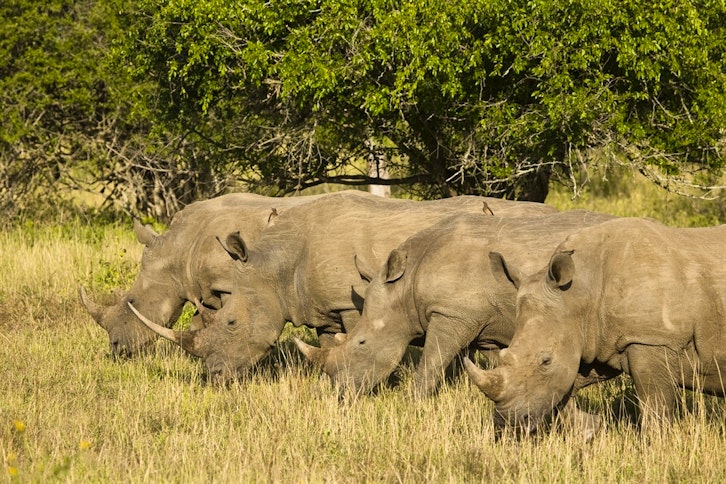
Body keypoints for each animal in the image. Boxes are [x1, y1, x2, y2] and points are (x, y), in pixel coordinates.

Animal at [79, 191, 332, 357]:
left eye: (131, 301)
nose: (115, 348)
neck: (178, 251)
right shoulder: (207, 290)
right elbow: (199, 326)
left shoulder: (228, 284)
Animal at [130, 191, 557, 382]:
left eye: (231, 323)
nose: (214, 377)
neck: (276, 264)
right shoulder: (323, 308)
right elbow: (328, 345)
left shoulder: (351, 303)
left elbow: (357, 339)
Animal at [295, 210, 614, 399]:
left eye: (361, 343)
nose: (339, 392)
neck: (405, 287)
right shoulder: (489, 324)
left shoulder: (452, 314)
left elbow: (432, 360)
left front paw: (413, 402)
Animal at [464, 217, 726, 432]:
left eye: (546, 361)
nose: (506, 422)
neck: (581, 291)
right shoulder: (596, 339)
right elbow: (564, 392)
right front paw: (591, 428)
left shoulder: (652, 340)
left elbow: (655, 405)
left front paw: (656, 446)